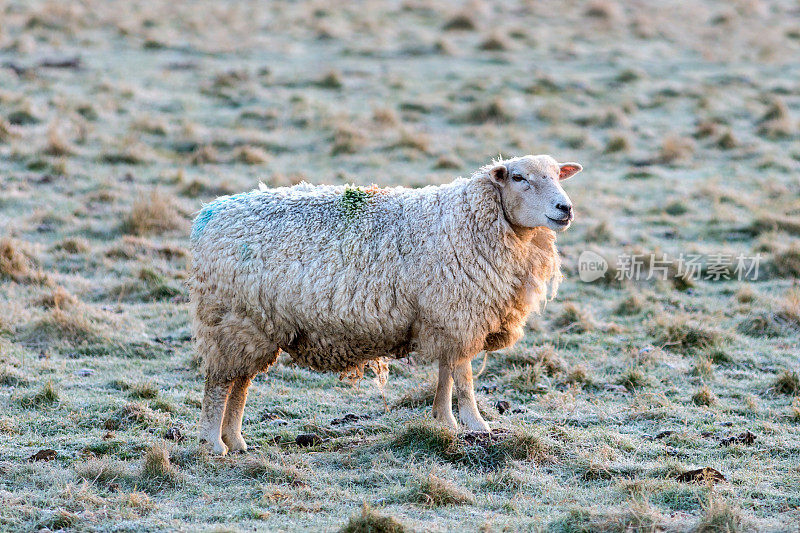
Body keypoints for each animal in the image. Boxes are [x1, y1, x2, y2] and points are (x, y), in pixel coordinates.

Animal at [191, 153, 584, 454]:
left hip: (254, 325)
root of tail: (207, 214)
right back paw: (213, 443)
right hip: (231, 318)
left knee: (239, 383)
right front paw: (476, 425)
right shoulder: (459, 313)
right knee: (218, 383)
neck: (474, 220)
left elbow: (446, 373)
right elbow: (464, 377)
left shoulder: (442, 318)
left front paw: (444, 420)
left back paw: (236, 441)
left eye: (556, 175)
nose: (564, 207)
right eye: (519, 177)